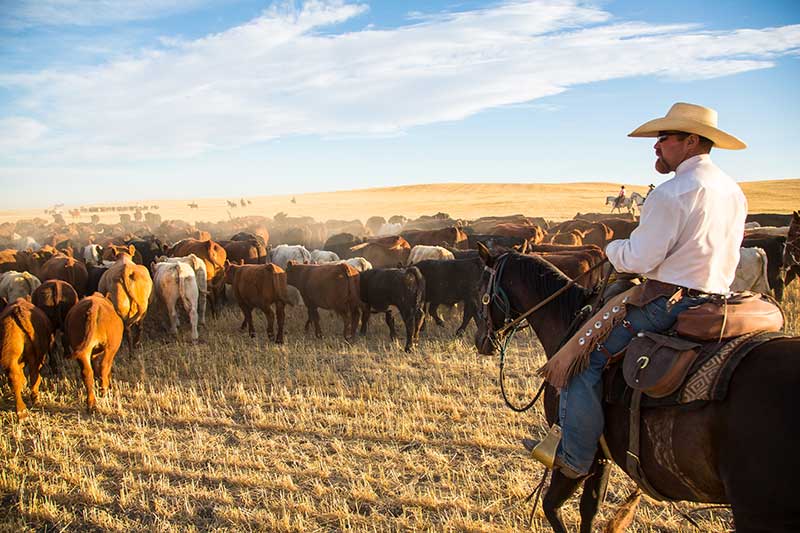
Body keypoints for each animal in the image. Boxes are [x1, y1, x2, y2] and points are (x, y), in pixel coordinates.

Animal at [476, 247, 800, 532]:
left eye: (483, 290)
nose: (481, 341)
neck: (569, 320)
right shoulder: (602, 454)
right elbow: (589, 510)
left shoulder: (577, 450)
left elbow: (551, 506)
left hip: (757, 514)